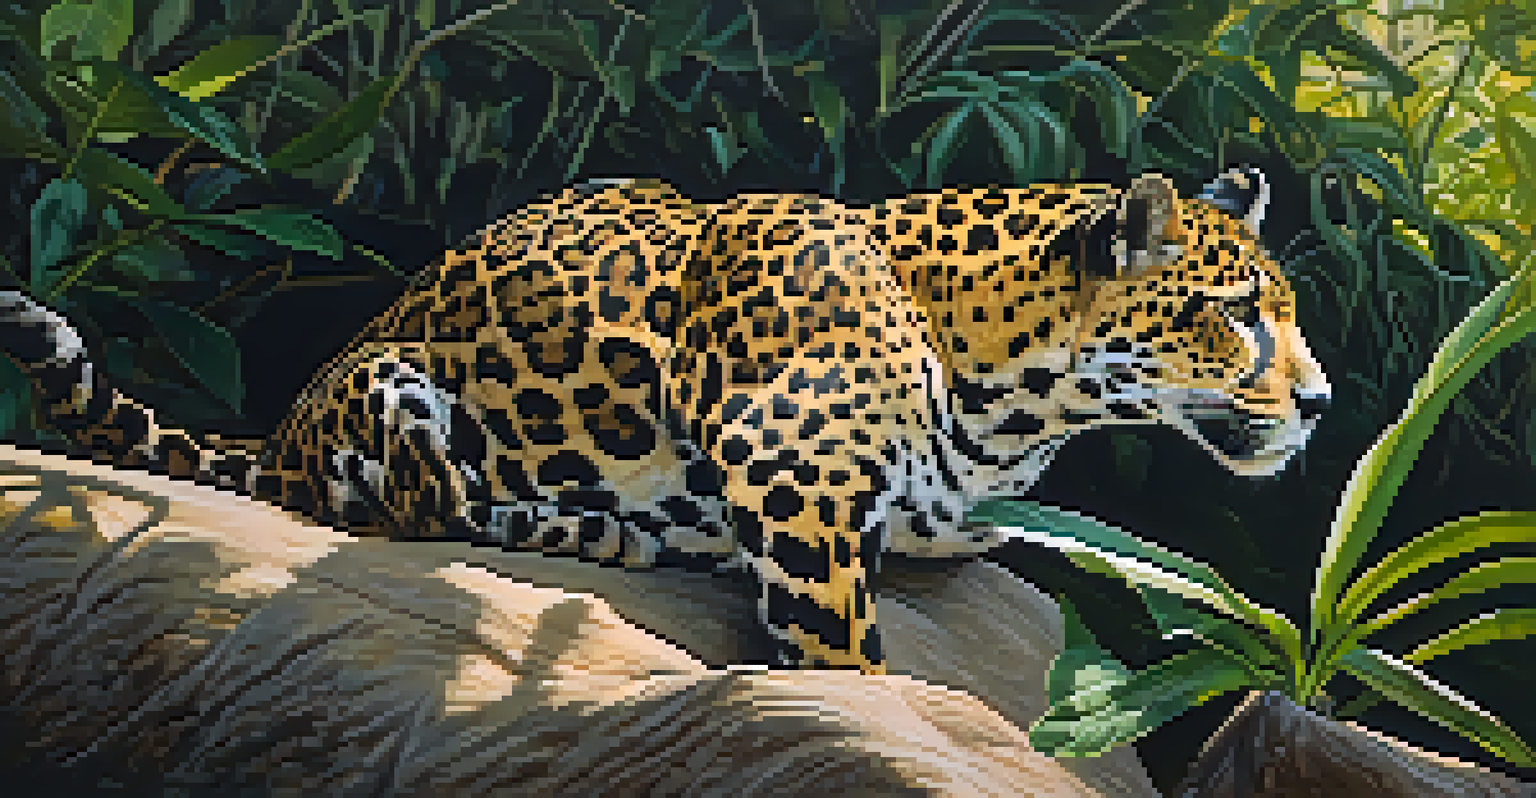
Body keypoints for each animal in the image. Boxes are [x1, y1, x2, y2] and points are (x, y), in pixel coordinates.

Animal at [0, 167, 1330, 675]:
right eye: (1235, 316)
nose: (1319, 406)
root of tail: (269, 433)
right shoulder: (790, 471)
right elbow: (849, 655)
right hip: (391, 381)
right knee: (421, 505)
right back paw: (572, 528)